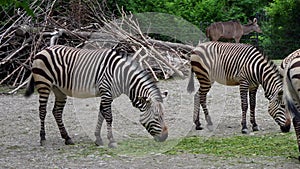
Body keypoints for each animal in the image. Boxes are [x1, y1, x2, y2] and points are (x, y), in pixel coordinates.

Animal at [24, 44, 169, 147]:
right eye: (157, 117)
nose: (165, 138)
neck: (122, 77)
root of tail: (43, 49)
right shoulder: (106, 92)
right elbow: (109, 117)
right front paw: (111, 141)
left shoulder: (107, 95)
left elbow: (101, 115)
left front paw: (98, 139)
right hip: (44, 84)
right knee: (42, 111)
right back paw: (43, 138)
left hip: (59, 89)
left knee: (57, 112)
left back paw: (67, 138)